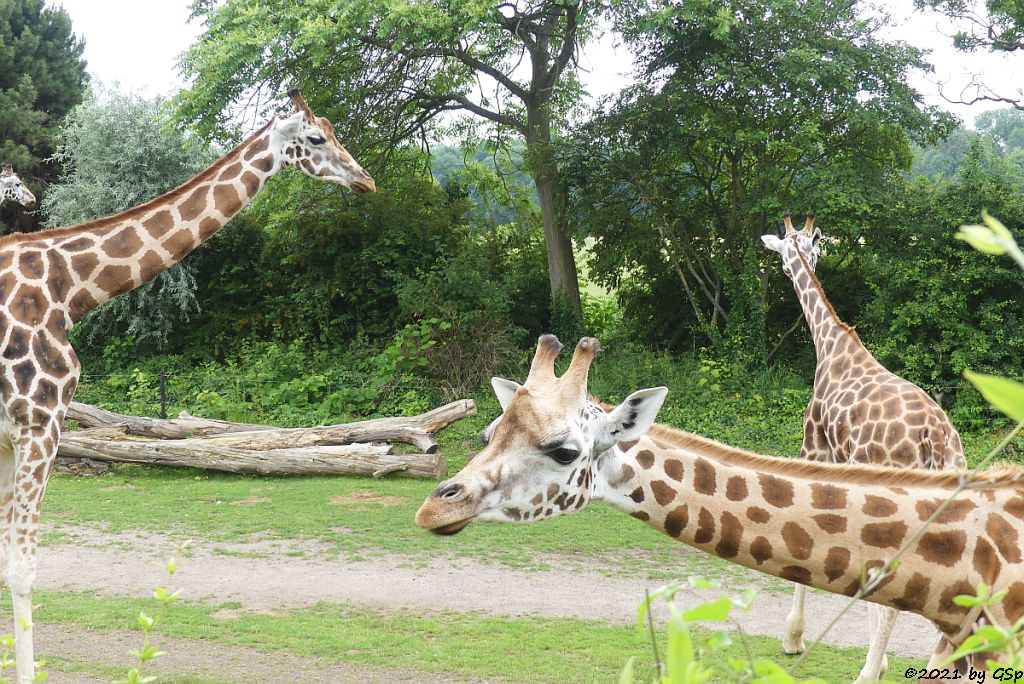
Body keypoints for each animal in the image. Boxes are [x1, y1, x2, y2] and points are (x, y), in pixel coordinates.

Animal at [0, 90, 372, 684]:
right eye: (316, 138)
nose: (365, 180)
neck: (69, 289)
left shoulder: (11, 438)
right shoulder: (39, 423)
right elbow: (23, 570)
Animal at [761, 211, 966, 679]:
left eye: (783, 252)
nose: (788, 270)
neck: (831, 346)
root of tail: (935, 438)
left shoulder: (815, 449)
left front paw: (793, 639)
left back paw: (867, 673)